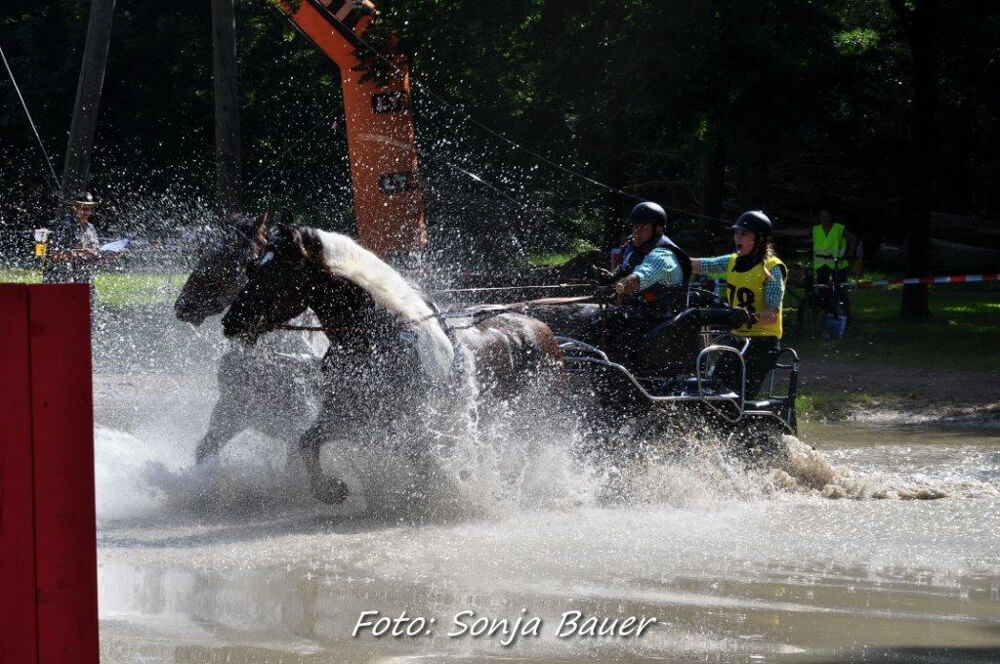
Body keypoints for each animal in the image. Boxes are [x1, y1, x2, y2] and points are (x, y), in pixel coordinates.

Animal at [221, 224, 564, 505]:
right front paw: (331, 490)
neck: (381, 341)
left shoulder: (414, 431)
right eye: (252, 267)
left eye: (277, 273)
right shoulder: (348, 417)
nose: (229, 322)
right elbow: (307, 442)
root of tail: (542, 329)